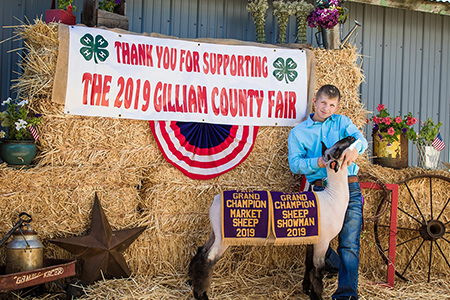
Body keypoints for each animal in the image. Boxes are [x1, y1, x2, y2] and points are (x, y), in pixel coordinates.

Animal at [188, 137, 356, 300]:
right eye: (337, 149)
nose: (351, 137)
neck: (333, 197)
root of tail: (215, 201)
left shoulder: (312, 239)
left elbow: (308, 265)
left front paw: (306, 289)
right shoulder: (323, 241)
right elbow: (317, 270)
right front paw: (316, 295)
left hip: (215, 232)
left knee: (201, 251)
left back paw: (192, 284)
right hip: (224, 237)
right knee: (208, 259)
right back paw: (201, 295)